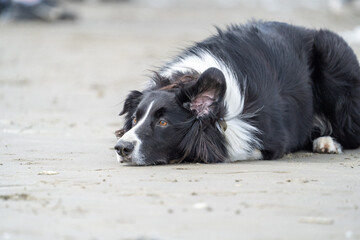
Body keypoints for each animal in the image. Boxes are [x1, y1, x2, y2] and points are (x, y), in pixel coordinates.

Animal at [114, 21, 360, 165]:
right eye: (135, 119)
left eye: (163, 123)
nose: (121, 148)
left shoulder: (272, 139)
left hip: (335, 66)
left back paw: (327, 142)